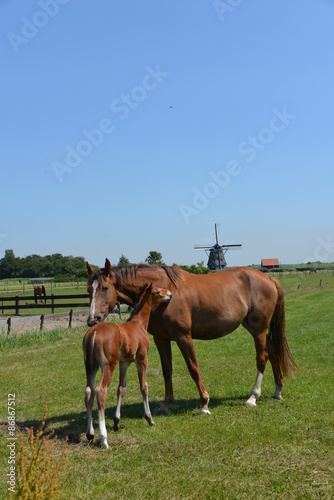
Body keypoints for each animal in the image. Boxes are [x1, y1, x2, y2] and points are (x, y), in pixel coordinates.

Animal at [83, 282, 172, 450]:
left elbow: (121, 388)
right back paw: (104, 439)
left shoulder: (124, 362)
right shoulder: (141, 359)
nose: (170, 294)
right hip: (108, 365)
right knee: (100, 391)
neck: (138, 324)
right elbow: (144, 386)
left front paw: (117, 422)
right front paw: (149, 418)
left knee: (89, 392)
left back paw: (90, 433)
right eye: (158, 291)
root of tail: (94, 332)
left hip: (91, 366)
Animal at [86, 260, 300, 416]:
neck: (166, 292)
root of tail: (268, 278)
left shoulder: (184, 337)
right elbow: (167, 370)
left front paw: (204, 404)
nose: (92, 320)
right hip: (253, 327)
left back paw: (252, 398)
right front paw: (166, 405)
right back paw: (277, 391)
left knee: (262, 357)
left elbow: (193, 368)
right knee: (273, 351)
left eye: (105, 288)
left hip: (258, 330)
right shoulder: (161, 339)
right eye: (89, 290)